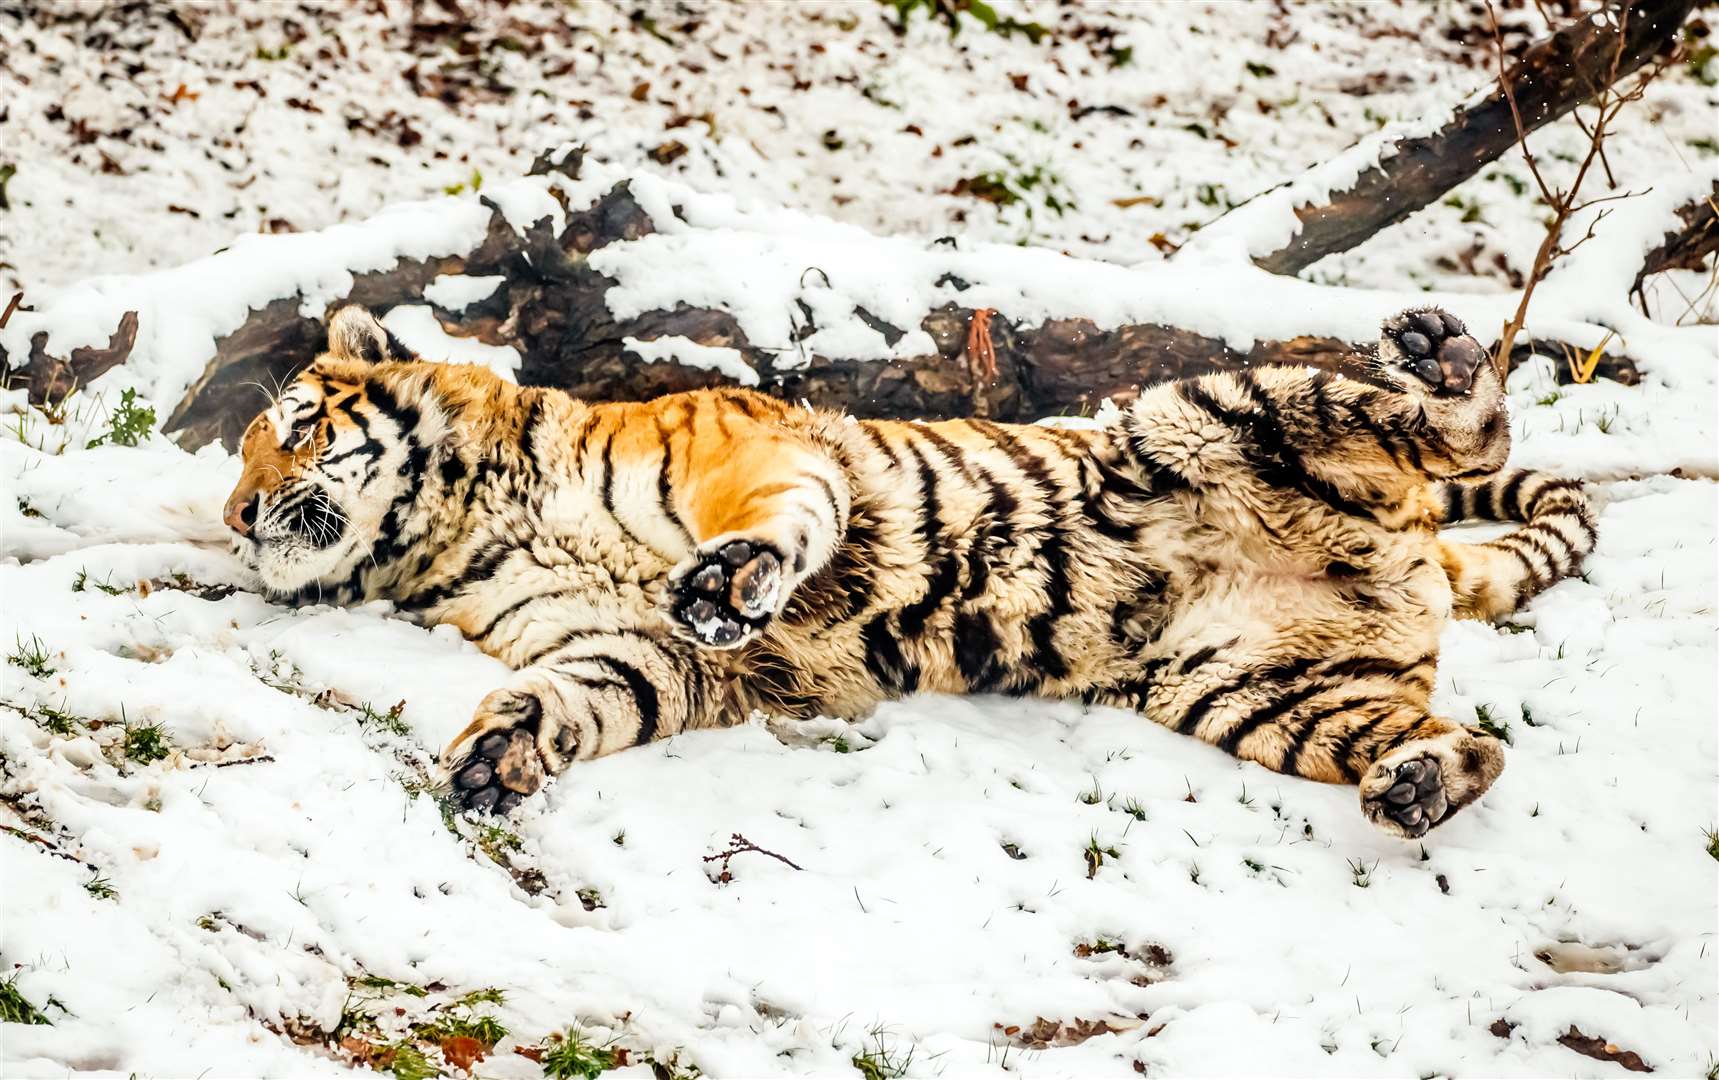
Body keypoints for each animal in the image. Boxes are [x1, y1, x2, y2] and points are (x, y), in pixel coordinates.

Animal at [228, 307, 1595, 839]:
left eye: (291, 426)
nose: (239, 517)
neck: (471, 517)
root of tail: (1416, 563)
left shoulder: (747, 455)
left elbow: (768, 536)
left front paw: (732, 580)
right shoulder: (631, 649)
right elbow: (591, 686)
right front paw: (499, 753)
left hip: (1209, 412)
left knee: (1456, 429)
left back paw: (1444, 359)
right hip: (1252, 694)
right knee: (1472, 743)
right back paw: (1422, 786)